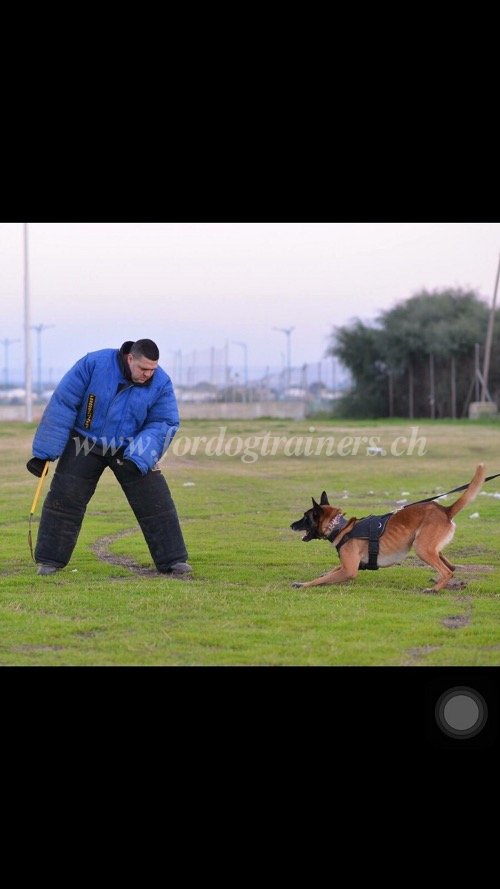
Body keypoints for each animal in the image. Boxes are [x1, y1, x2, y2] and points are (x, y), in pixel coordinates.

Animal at [290, 462, 484, 592]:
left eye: (305, 517)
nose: (291, 525)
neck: (341, 527)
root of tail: (445, 510)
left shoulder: (349, 570)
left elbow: (319, 580)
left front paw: (303, 584)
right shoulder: (348, 565)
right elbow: (330, 571)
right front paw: (321, 574)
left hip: (421, 547)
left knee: (447, 571)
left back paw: (435, 589)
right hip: (430, 547)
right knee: (451, 568)